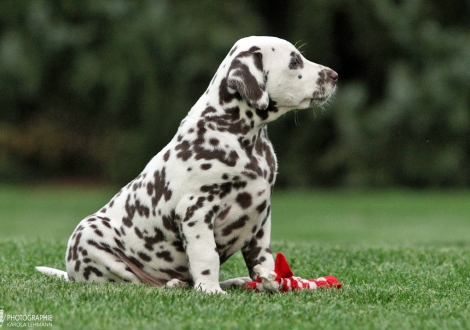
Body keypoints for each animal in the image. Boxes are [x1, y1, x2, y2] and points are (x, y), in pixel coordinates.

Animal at [37, 36, 338, 294]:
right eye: (294, 62)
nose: (335, 76)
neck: (242, 138)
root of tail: (71, 275)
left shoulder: (261, 215)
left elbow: (262, 260)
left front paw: (270, 282)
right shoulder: (196, 210)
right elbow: (206, 256)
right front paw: (211, 290)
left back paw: (236, 282)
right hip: (88, 238)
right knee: (134, 283)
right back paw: (175, 284)